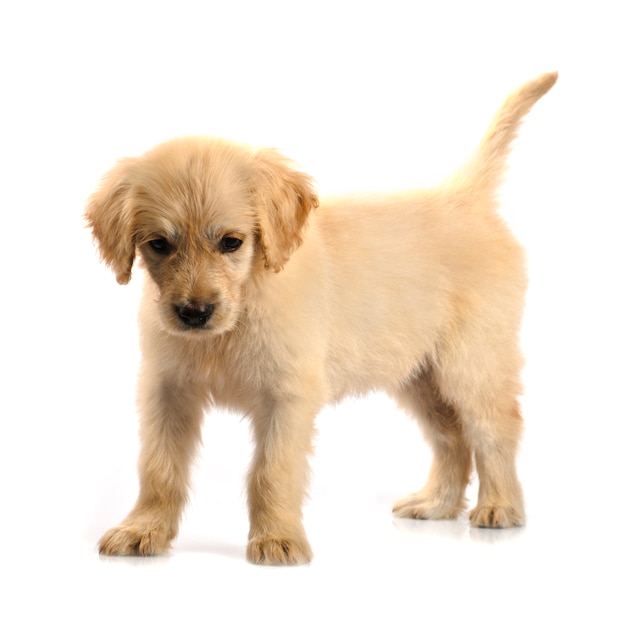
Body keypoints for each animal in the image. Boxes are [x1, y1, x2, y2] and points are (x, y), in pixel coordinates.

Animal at [85, 70, 552, 564]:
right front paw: (143, 529)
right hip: (420, 376)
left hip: (472, 366)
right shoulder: (166, 391)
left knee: (494, 430)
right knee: (452, 439)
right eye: (158, 244)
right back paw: (436, 503)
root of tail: (463, 198)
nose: (194, 313)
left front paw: (277, 539)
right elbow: (158, 468)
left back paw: (501, 506)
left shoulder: (288, 398)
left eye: (231, 243)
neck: (240, 311)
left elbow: (271, 472)